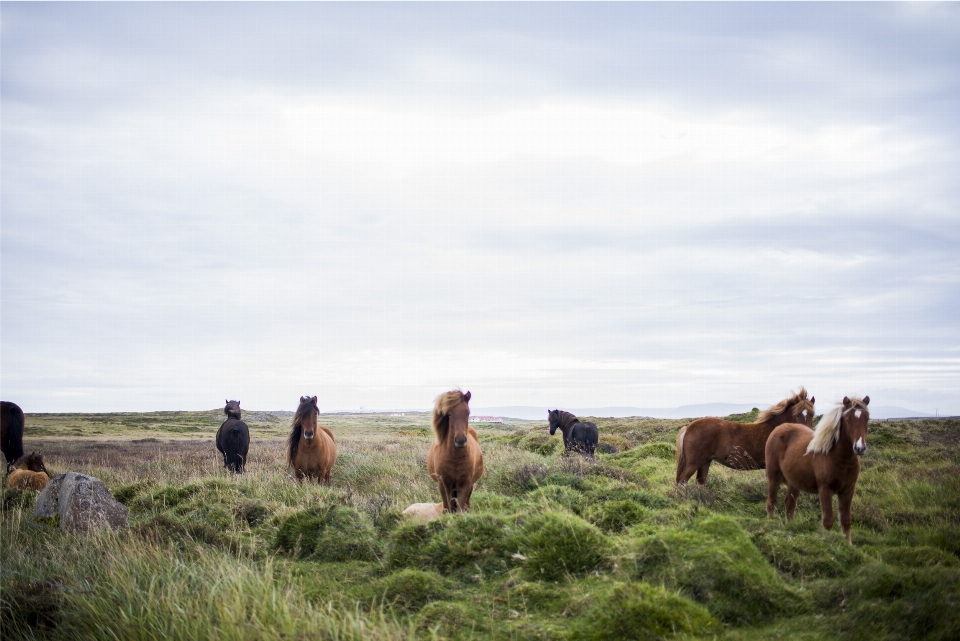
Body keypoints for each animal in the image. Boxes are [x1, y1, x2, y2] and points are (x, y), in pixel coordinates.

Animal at [676, 384, 816, 484]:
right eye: (797, 415)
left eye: (812, 414)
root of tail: (688, 427)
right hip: (694, 463)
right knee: (682, 481)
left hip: (705, 461)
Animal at [764, 396, 872, 540]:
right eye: (848, 419)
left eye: (867, 419)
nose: (859, 448)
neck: (839, 459)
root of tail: (778, 429)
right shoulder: (825, 490)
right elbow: (828, 520)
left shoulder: (848, 491)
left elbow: (846, 521)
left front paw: (848, 544)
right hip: (774, 477)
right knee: (772, 502)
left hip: (794, 483)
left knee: (790, 504)